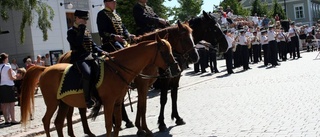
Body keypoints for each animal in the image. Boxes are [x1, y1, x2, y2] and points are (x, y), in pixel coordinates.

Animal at [20, 34, 180, 137]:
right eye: (165, 52)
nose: (177, 69)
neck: (117, 68)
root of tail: (45, 69)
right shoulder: (110, 102)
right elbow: (110, 124)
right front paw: (143, 128)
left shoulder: (118, 101)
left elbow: (118, 123)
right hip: (53, 103)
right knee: (47, 121)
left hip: (64, 103)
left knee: (59, 123)